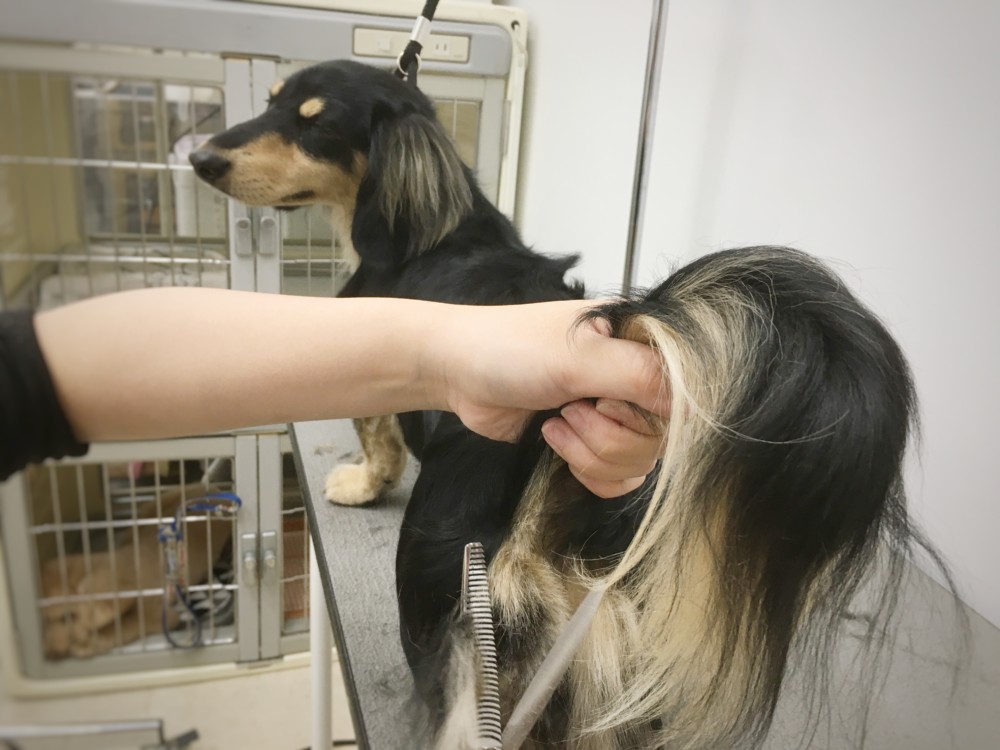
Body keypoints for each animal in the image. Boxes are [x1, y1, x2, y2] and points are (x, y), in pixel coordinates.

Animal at [191, 60, 949, 749]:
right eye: (272, 101)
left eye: (315, 124)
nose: (199, 158)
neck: (435, 230)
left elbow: (377, 435)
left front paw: (361, 482)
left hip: (452, 594)